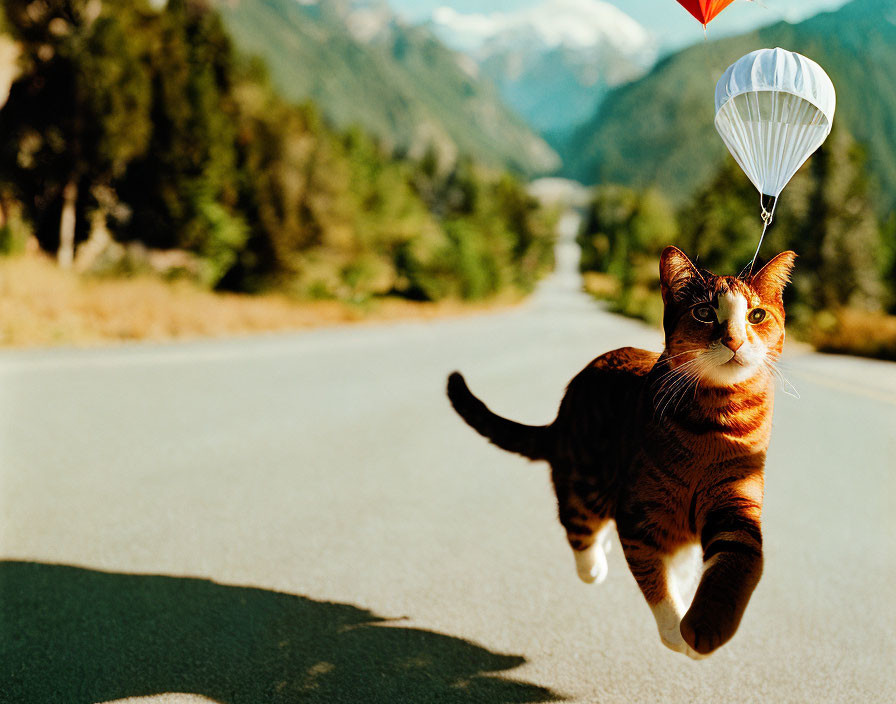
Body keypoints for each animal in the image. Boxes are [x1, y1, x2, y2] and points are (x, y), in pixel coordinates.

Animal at [444, 245, 796, 656]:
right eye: (705, 313)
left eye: (756, 315)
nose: (735, 341)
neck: (717, 419)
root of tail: (564, 409)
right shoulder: (638, 517)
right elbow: (655, 583)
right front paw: (676, 631)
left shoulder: (736, 498)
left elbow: (736, 563)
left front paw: (706, 625)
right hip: (587, 483)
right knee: (578, 526)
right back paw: (594, 565)